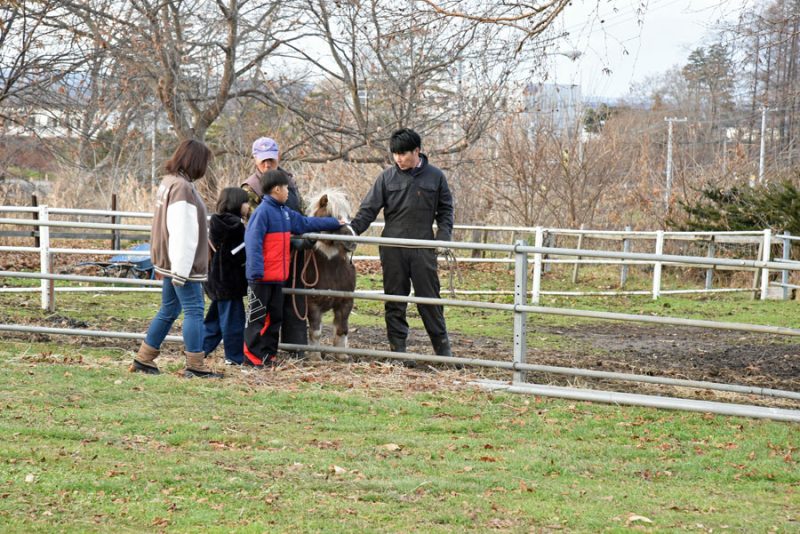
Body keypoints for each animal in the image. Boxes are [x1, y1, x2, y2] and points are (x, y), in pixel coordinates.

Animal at [302, 191, 354, 362]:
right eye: (330, 215)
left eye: (349, 216)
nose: (351, 241)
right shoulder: (312, 305)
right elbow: (316, 332)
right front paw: (315, 357)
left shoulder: (346, 303)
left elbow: (342, 329)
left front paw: (341, 355)